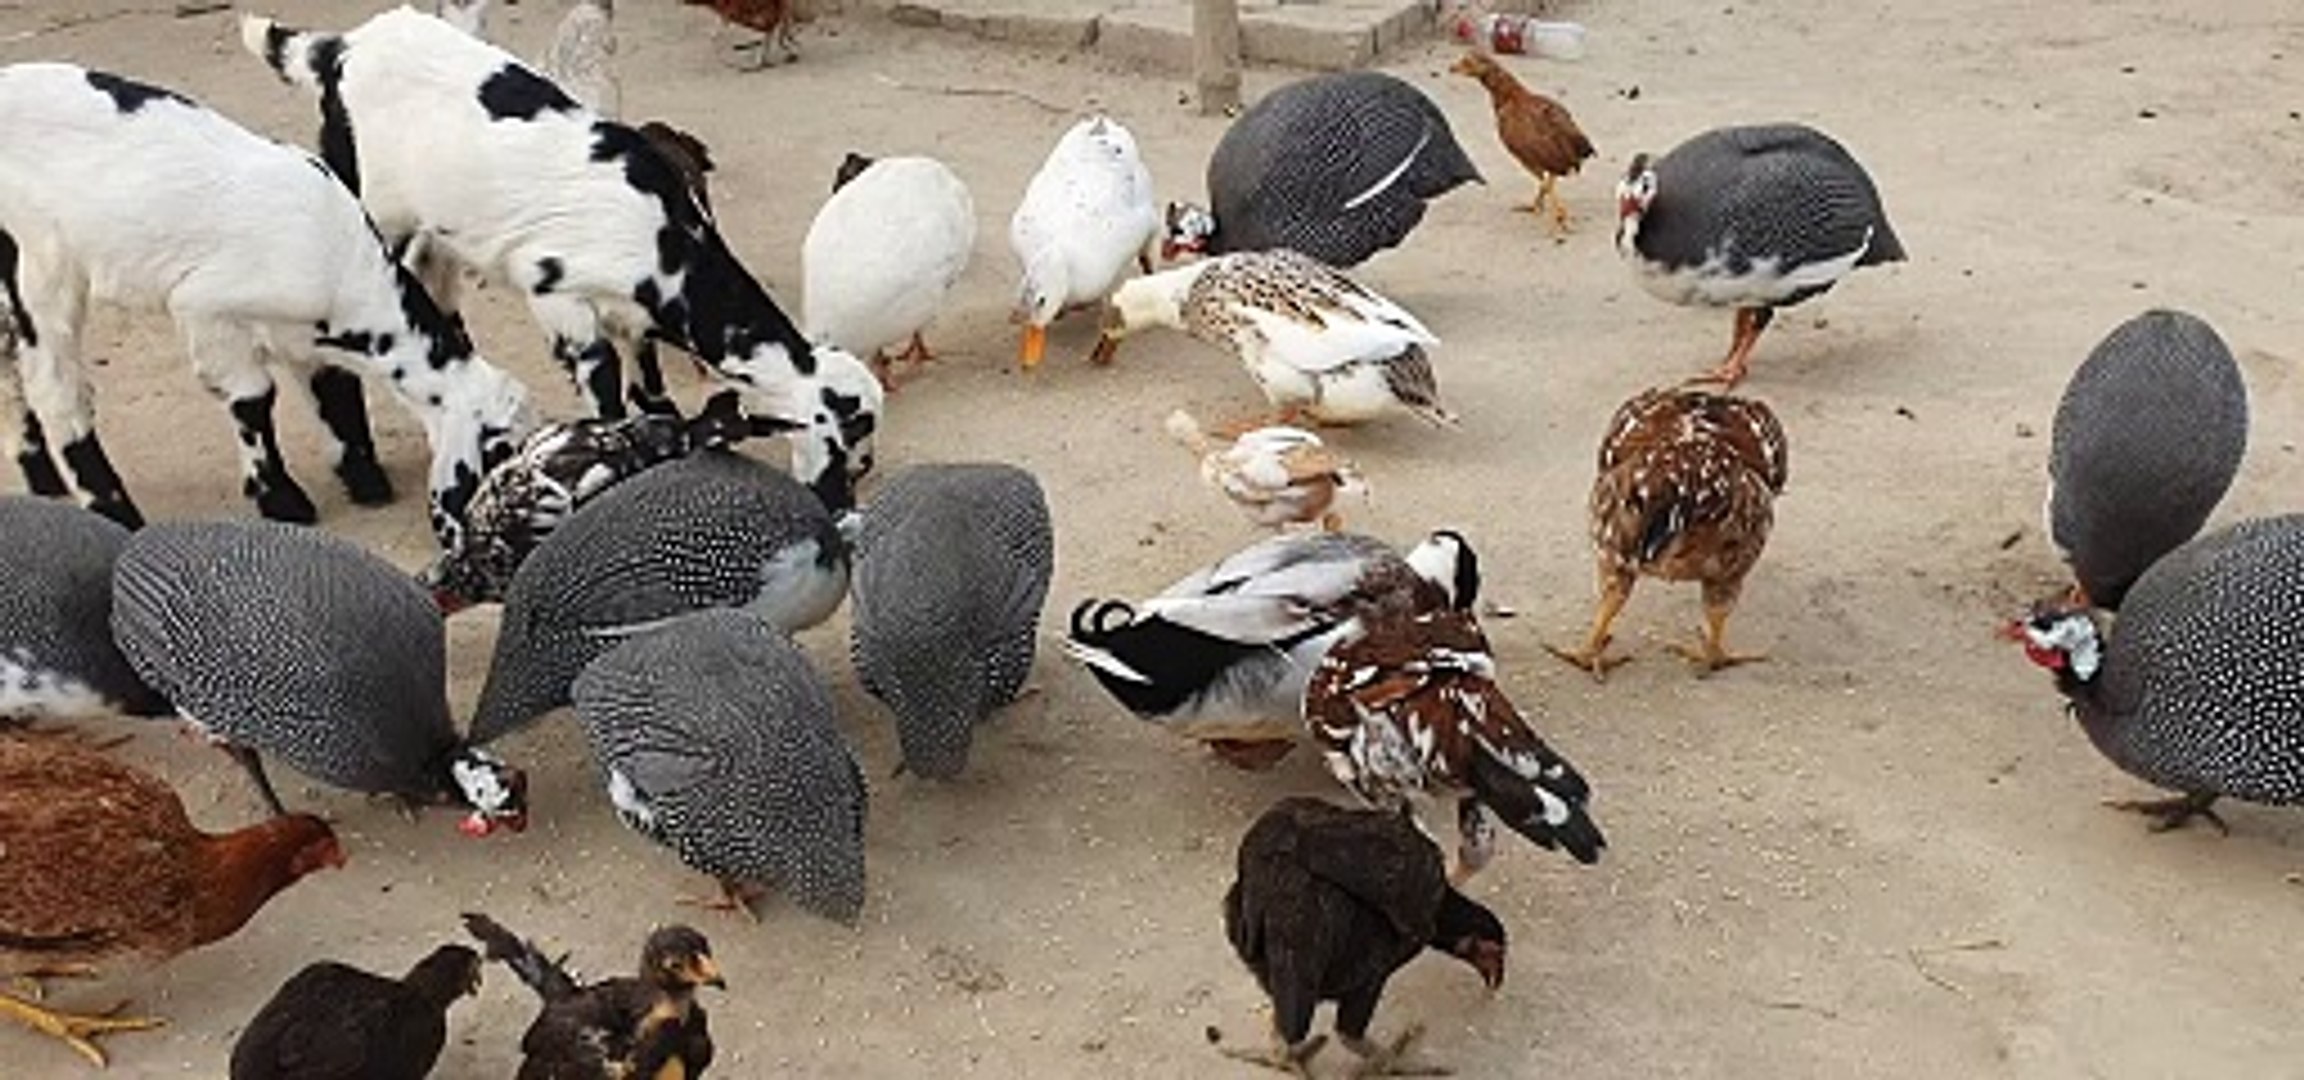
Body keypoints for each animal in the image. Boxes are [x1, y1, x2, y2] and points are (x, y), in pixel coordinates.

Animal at [0, 63, 535, 537]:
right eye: (500, 452)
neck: (341, 266)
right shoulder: (204, 310)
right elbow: (252, 399)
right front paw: (281, 499)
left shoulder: (308, 334)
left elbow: (334, 388)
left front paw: (362, 476)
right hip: (40, 261)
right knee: (58, 389)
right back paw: (114, 511)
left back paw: (40, 473)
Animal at [241, 7, 879, 512]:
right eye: (849, 440)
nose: (843, 497)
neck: (662, 239)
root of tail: (336, 49)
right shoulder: (563, 305)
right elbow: (606, 391)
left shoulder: (632, 308)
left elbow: (646, 371)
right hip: (368, 206)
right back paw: (356, 473)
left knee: (433, 289)